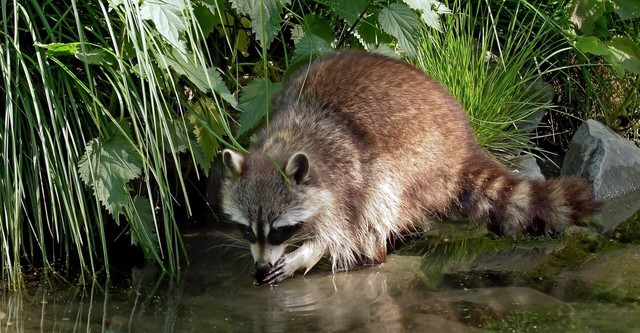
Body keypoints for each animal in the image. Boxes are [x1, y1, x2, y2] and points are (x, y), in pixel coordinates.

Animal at [219, 50, 600, 284]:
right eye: (247, 230)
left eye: (279, 231)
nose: (261, 266)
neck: (288, 138)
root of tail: (462, 144)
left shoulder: (345, 174)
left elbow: (343, 230)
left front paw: (306, 254)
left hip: (418, 158)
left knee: (380, 201)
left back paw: (373, 256)